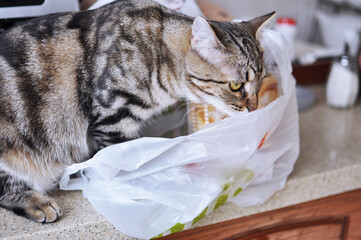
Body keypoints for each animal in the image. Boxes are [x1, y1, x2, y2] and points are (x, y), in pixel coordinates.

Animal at [0, 0, 272, 223]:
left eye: (261, 82)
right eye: (235, 85)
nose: (254, 107)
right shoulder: (111, 120)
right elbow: (126, 164)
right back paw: (38, 203)